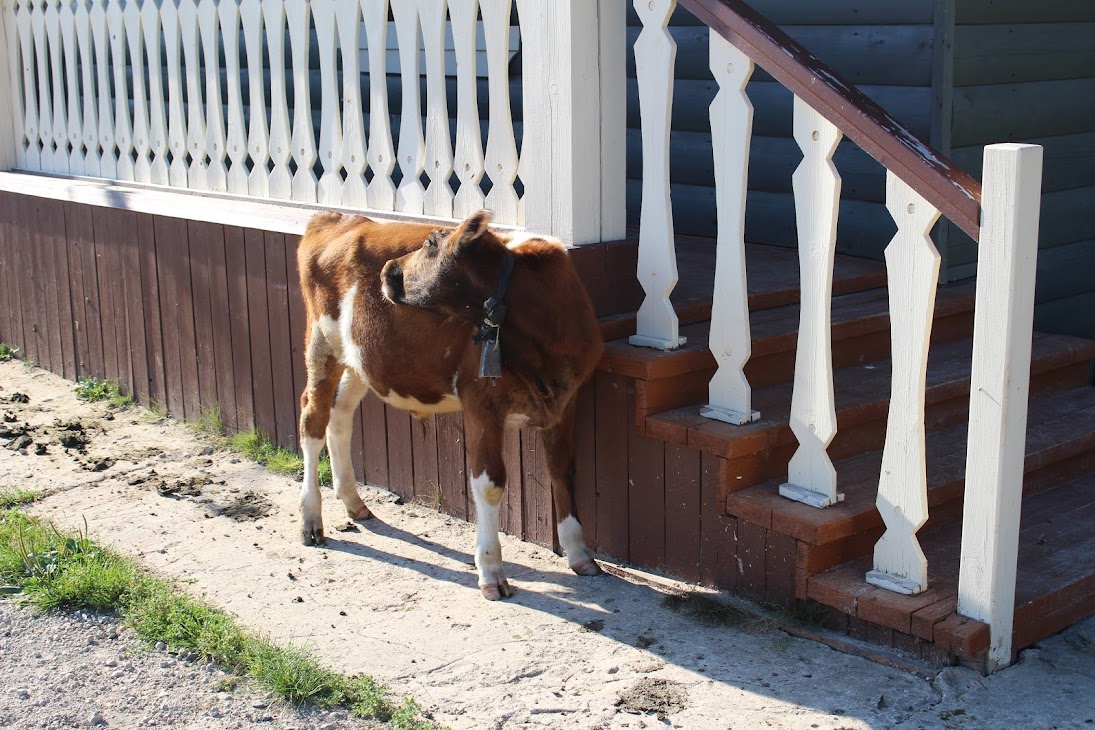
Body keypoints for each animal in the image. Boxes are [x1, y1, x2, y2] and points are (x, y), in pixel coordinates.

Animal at [295, 210, 604, 599]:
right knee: (312, 421)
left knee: (340, 417)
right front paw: (490, 570)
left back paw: (353, 502)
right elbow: (489, 483)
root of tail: (337, 217)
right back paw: (310, 519)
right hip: (321, 344)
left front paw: (579, 553)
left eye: (430, 243)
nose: (388, 270)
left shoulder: (567, 398)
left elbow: (563, 469)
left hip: (360, 359)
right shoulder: (480, 401)